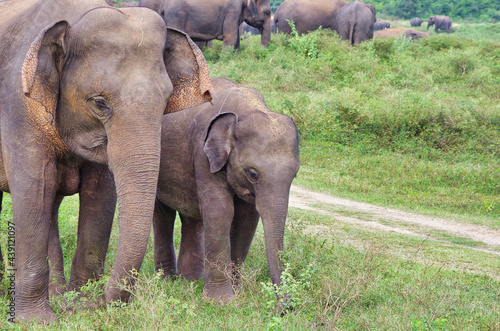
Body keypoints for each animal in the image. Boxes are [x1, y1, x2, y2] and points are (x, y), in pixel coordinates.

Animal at [0, 0, 211, 322]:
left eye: (166, 100)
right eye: (100, 103)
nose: (100, 301)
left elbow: (100, 194)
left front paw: (80, 304)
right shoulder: (18, 105)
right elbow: (34, 189)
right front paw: (37, 321)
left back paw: (56, 294)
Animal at [140, 0, 274, 50]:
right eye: (268, 12)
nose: (261, 49)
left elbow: (235, 39)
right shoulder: (232, 12)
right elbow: (231, 37)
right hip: (176, 16)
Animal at [153, 77, 300, 304]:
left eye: (294, 175)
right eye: (252, 174)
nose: (286, 308)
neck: (247, 109)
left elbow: (246, 220)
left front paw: (236, 292)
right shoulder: (203, 153)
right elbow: (220, 212)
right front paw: (222, 302)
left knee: (192, 218)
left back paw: (189, 281)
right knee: (163, 215)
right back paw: (167, 281)